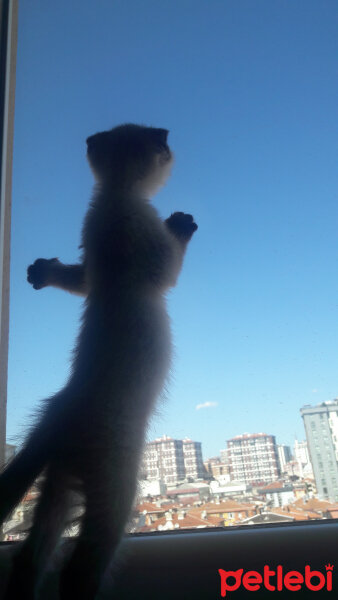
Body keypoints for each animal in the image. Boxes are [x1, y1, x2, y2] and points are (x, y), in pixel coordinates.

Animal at [0, 123, 198, 600]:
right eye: (157, 137)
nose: (168, 136)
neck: (114, 199)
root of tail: (63, 412)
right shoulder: (148, 249)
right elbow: (170, 265)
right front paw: (181, 223)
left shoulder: (91, 262)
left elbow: (80, 280)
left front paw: (42, 272)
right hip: (116, 491)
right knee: (78, 569)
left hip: (57, 489)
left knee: (29, 558)